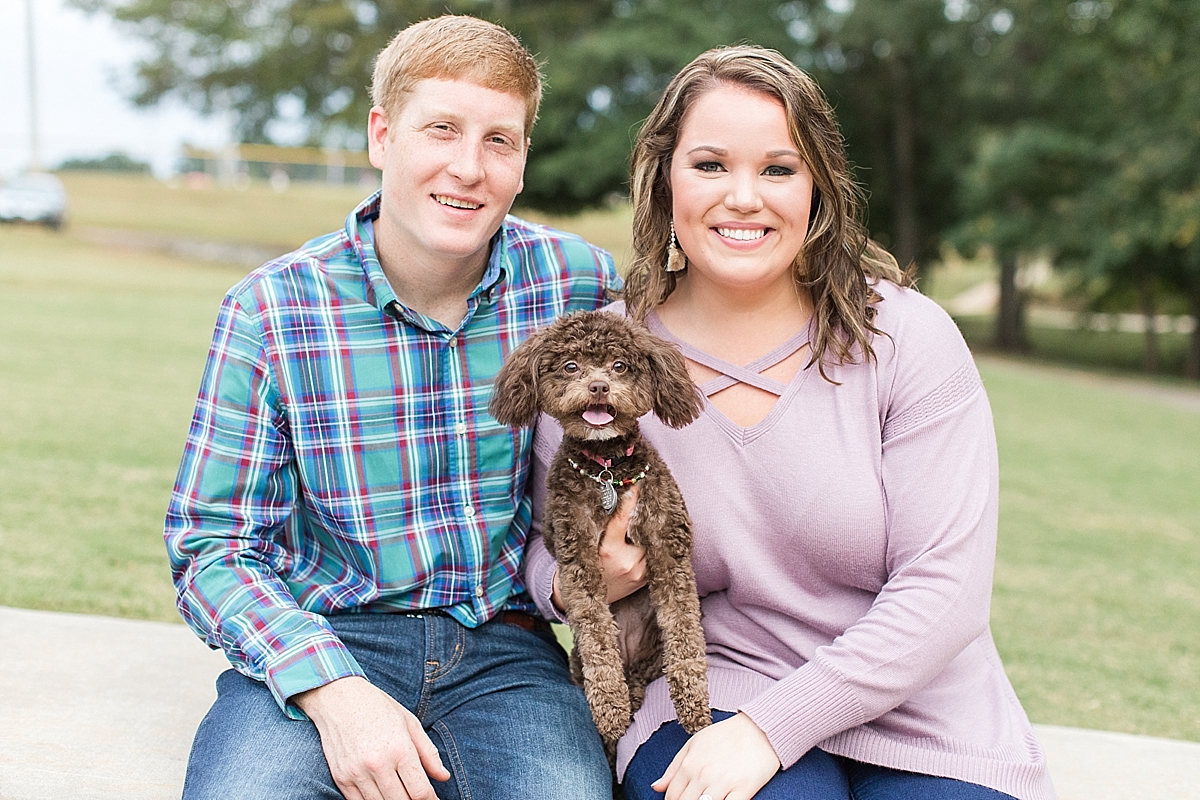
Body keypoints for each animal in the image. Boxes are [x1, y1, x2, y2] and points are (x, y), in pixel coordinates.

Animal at [489, 311, 710, 758]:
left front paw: (694, 705)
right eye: (571, 366)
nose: (598, 386)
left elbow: (684, 629)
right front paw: (608, 707)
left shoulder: (669, 548)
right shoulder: (579, 559)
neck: (607, 467)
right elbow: (595, 631)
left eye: (620, 366)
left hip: (652, 657)